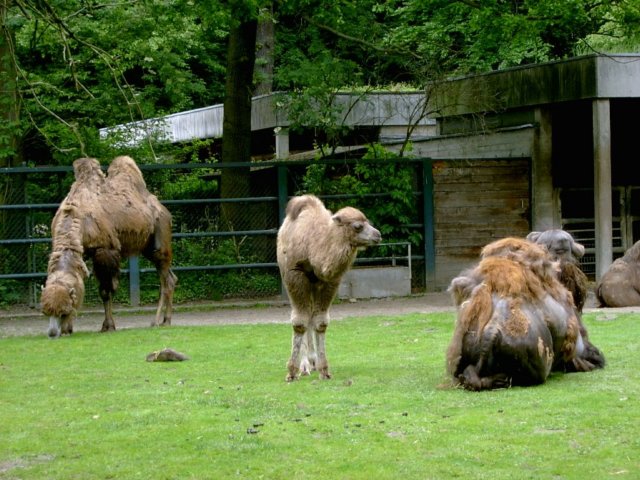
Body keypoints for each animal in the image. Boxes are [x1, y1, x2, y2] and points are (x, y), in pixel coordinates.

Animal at [41, 157, 176, 338]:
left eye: (64, 312)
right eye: (46, 312)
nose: (53, 333)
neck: (79, 219)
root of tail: (163, 208)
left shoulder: (105, 251)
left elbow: (106, 291)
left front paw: (108, 326)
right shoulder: (83, 252)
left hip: (161, 234)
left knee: (165, 279)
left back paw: (159, 321)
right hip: (147, 248)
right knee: (171, 277)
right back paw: (165, 319)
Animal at [276, 195, 380, 382]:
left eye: (367, 221)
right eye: (357, 226)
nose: (378, 235)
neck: (314, 248)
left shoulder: (329, 281)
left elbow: (320, 322)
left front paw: (324, 369)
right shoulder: (295, 275)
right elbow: (299, 323)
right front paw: (292, 372)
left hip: (313, 285)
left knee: (311, 316)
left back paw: (312, 362)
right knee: (303, 316)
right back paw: (305, 366)